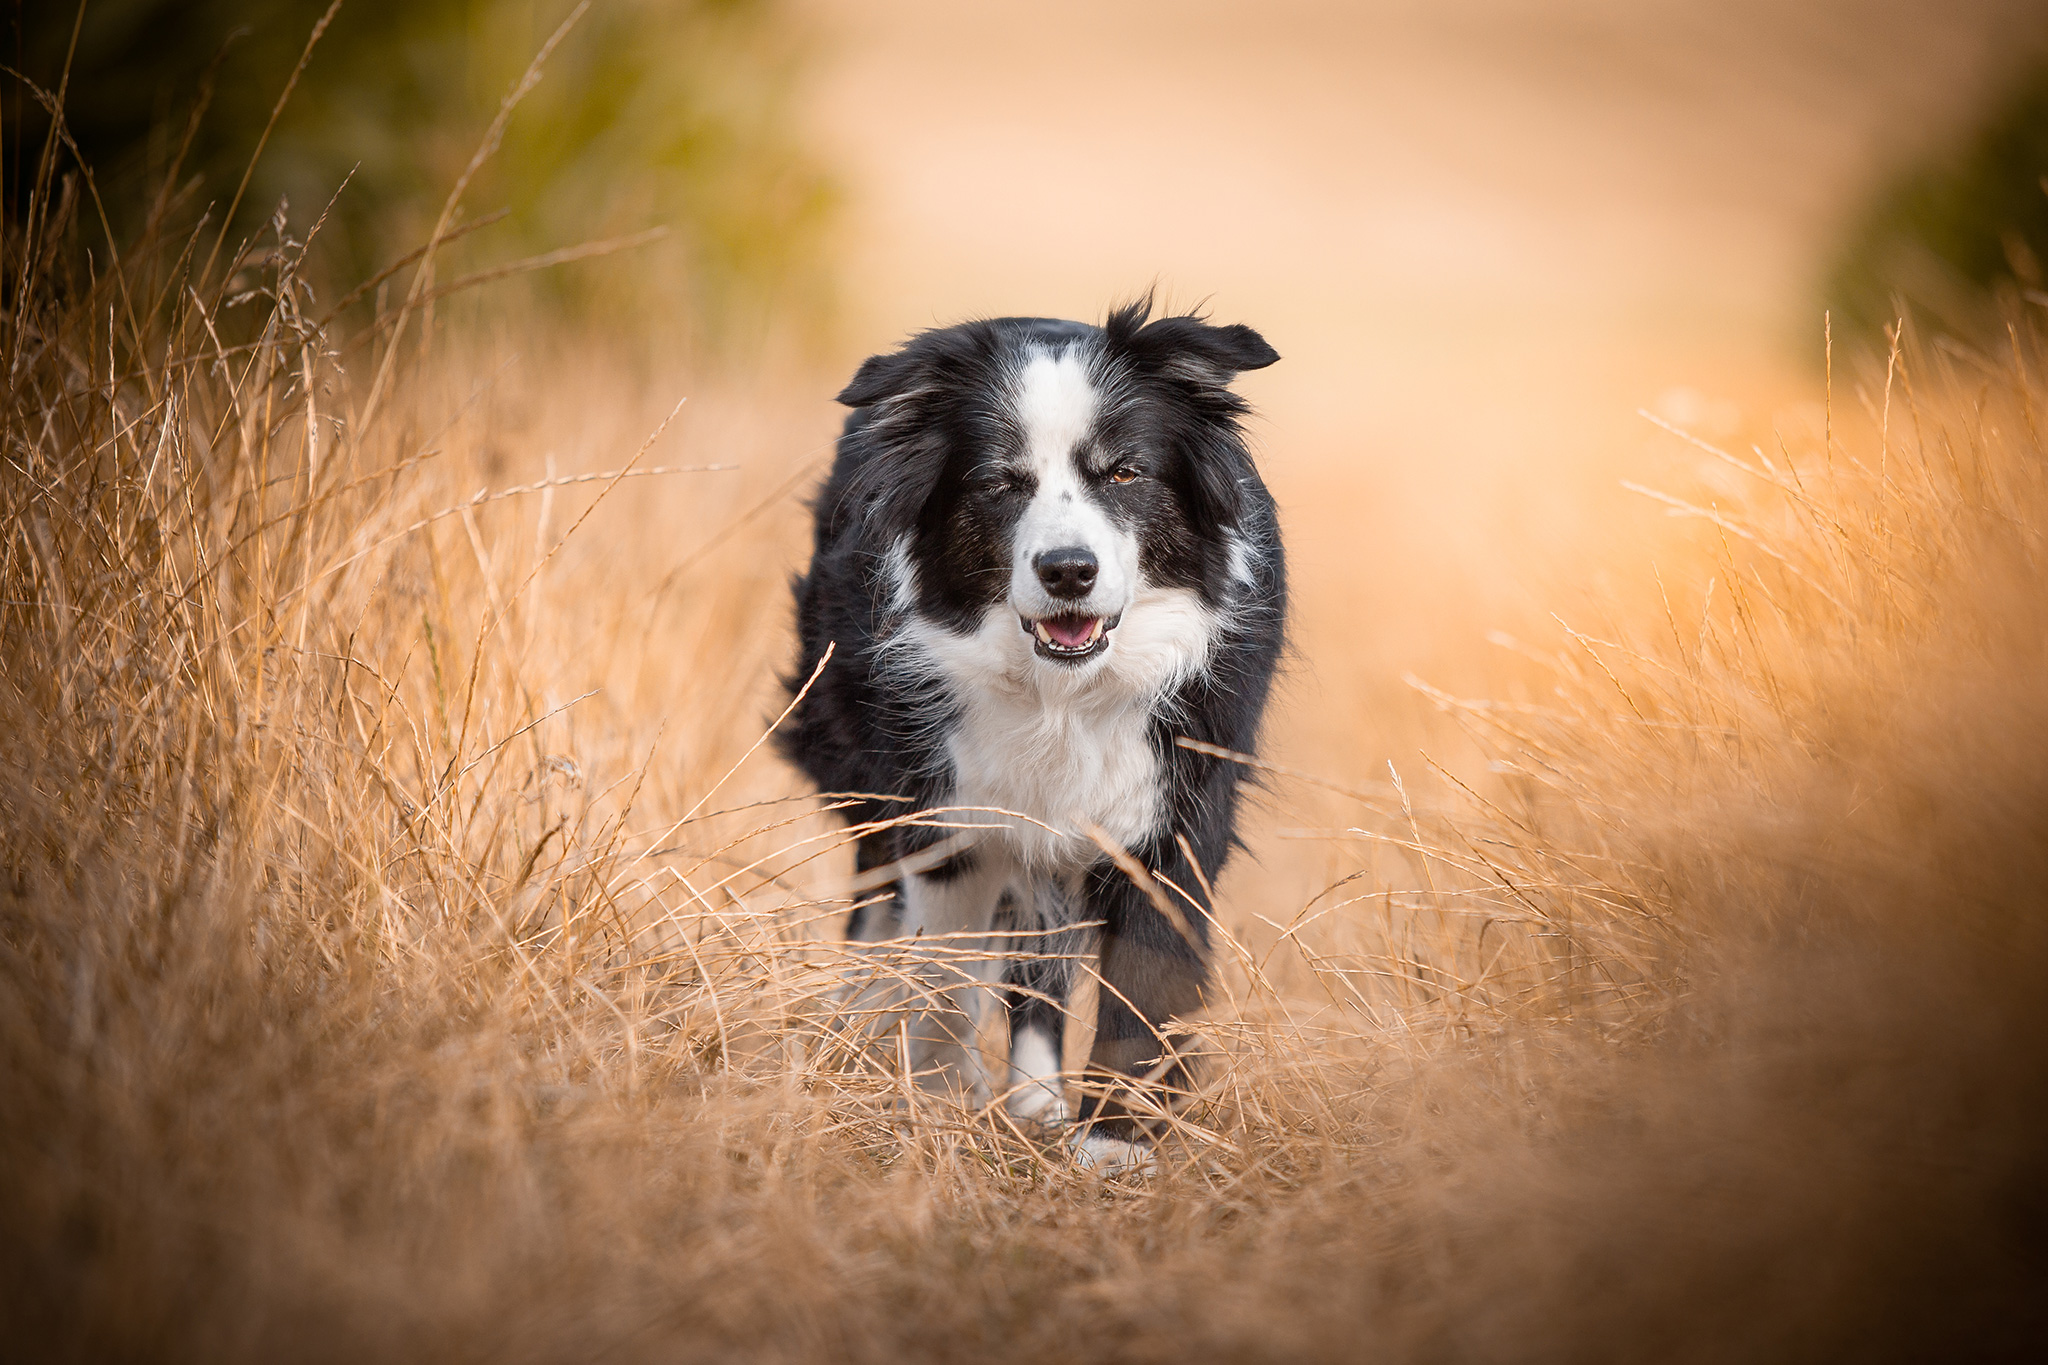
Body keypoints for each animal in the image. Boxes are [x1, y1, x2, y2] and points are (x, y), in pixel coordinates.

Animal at [778, 300, 1277, 1178]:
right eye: (999, 483)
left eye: (1124, 473)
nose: (1068, 570)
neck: (1063, 695)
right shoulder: (948, 805)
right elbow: (943, 972)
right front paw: (939, 1100)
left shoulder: (1173, 810)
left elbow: (1142, 980)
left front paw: (1115, 1143)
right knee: (885, 918)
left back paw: (1037, 1103)